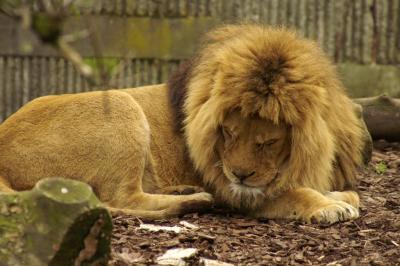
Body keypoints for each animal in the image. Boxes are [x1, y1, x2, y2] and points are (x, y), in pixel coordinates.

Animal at [0, 25, 368, 223]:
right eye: (227, 132)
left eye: (267, 142)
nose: (239, 175)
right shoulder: (238, 191)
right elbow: (295, 193)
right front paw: (329, 206)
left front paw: (339, 195)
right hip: (122, 105)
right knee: (124, 199)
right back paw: (197, 199)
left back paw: (187, 191)